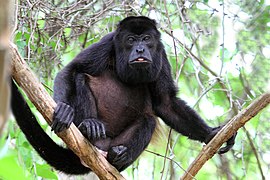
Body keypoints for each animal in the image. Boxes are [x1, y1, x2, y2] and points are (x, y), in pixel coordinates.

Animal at [10, 16, 235, 174]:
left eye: (146, 39)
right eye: (131, 40)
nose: (140, 49)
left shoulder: (160, 54)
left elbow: (165, 103)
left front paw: (211, 133)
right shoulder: (107, 42)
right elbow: (70, 70)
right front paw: (64, 110)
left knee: (149, 120)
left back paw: (118, 156)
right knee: (81, 78)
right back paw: (90, 128)